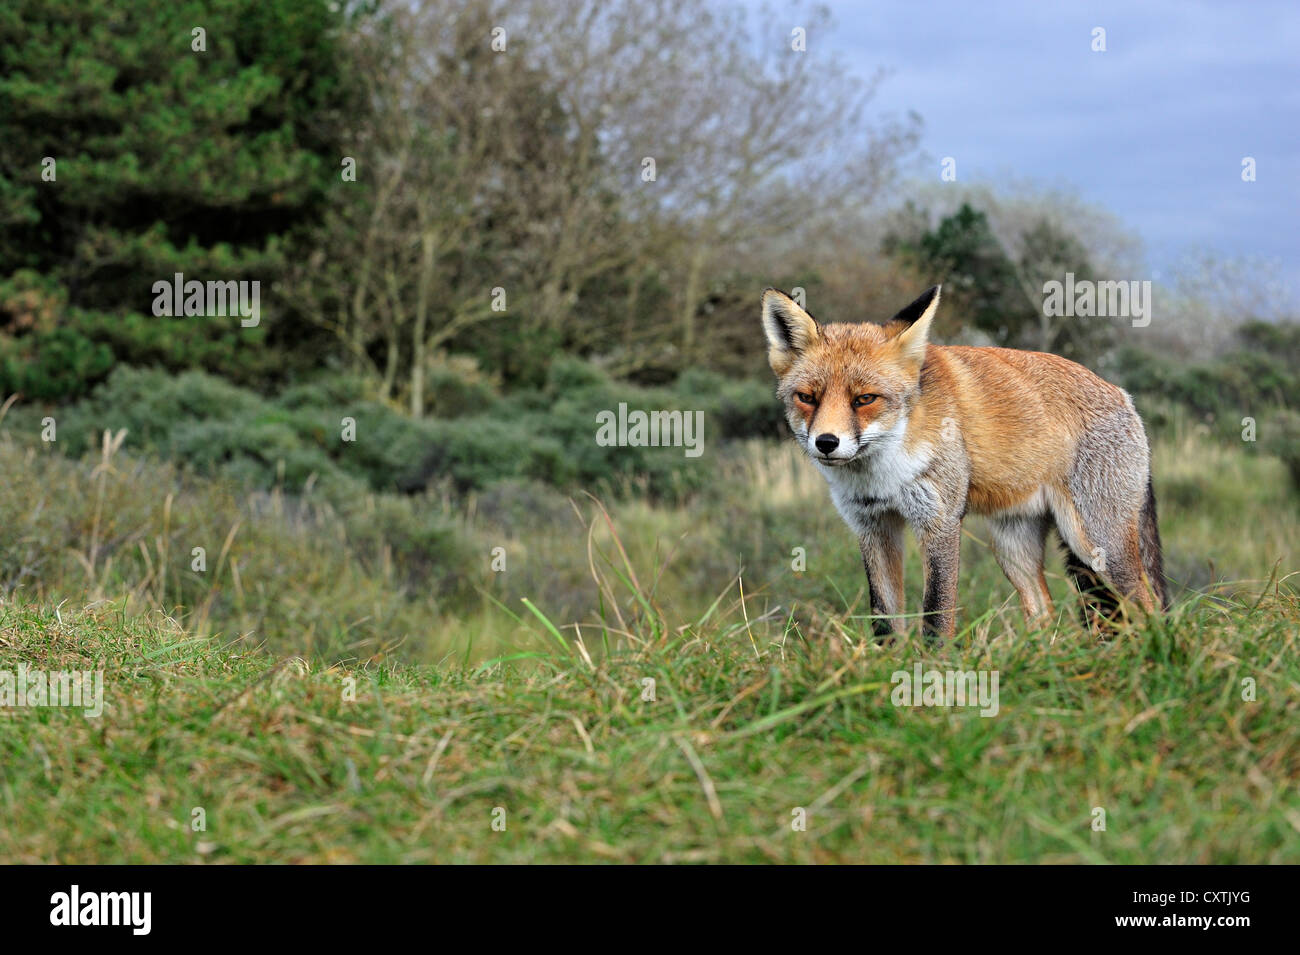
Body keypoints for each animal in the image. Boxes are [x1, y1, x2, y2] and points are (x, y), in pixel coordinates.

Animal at [759, 283, 1170, 641]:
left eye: (864, 399)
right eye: (807, 397)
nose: (826, 443)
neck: (882, 473)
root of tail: (1124, 396)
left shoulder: (939, 522)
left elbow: (936, 614)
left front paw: (931, 670)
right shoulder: (873, 525)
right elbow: (885, 619)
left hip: (1096, 543)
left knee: (1147, 605)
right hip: (1012, 548)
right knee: (1043, 612)